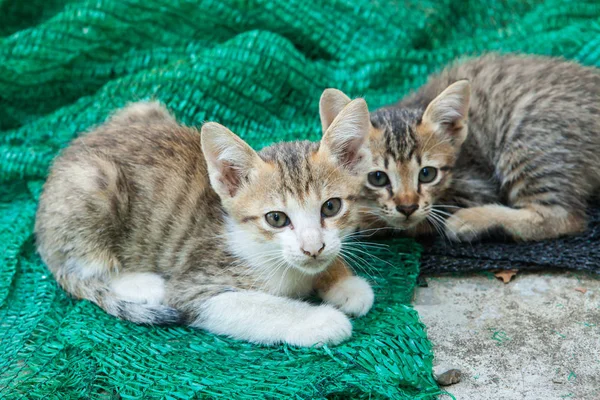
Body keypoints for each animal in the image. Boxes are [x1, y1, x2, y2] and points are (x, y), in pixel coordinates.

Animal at [34, 97, 376, 346]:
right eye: (276, 218)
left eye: (330, 207)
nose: (312, 248)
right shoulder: (196, 286)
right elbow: (261, 307)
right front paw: (320, 320)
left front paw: (343, 282)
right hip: (92, 182)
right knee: (86, 266)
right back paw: (142, 283)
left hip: (144, 108)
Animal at [322, 52, 600, 241]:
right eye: (378, 178)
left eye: (427, 174)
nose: (408, 207)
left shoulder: (475, 186)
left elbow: (412, 220)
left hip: (529, 139)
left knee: (563, 217)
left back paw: (471, 220)